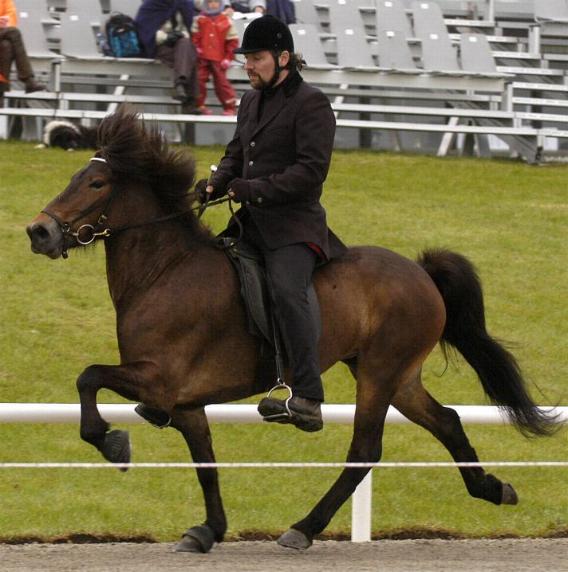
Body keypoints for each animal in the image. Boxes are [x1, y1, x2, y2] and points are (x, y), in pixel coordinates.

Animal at [25, 109, 556, 552]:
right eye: (75, 177)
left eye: (96, 183)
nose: (39, 232)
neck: (164, 271)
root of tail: (421, 272)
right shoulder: (186, 402)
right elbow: (206, 465)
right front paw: (209, 530)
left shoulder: (159, 380)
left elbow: (89, 377)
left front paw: (111, 442)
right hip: (399, 376)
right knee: (446, 421)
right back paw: (493, 488)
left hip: (380, 373)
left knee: (365, 450)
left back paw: (304, 528)